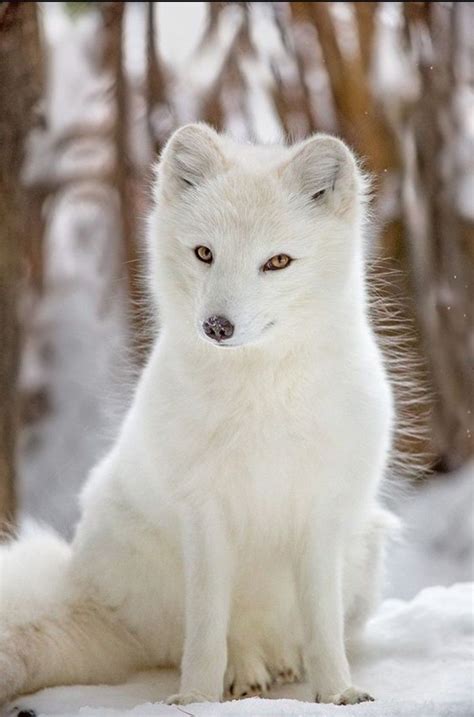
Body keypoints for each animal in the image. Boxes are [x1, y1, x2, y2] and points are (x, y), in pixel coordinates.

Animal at [1, 124, 398, 704]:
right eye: (205, 253)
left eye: (277, 262)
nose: (217, 326)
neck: (261, 397)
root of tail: (89, 590)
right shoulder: (205, 513)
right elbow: (208, 628)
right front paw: (195, 699)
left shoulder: (321, 512)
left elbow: (323, 627)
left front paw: (338, 693)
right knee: (222, 637)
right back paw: (245, 675)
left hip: (365, 545)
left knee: (285, 637)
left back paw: (282, 667)